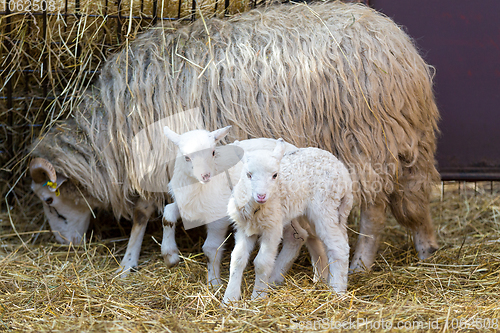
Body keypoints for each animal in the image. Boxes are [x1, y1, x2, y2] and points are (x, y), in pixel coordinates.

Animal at [225, 137, 354, 300]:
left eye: (275, 175)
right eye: (249, 174)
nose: (261, 195)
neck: (257, 209)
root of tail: (345, 176)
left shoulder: (273, 228)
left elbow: (262, 263)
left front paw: (258, 297)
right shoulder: (244, 228)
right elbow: (237, 259)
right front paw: (229, 298)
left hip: (325, 207)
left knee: (339, 248)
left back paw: (337, 292)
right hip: (320, 214)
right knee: (315, 240)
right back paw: (320, 280)